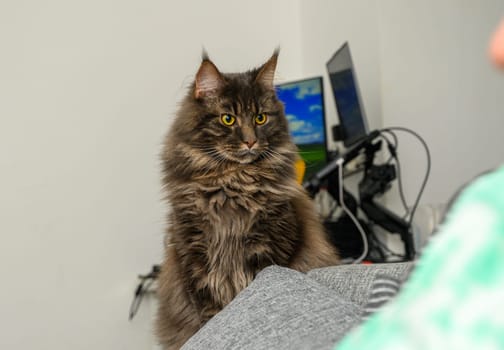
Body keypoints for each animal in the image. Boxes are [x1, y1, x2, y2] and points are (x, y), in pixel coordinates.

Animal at [156, 50, 340, 348]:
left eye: (261, 118)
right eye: (228, 119)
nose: (251, 142)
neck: (232, 186)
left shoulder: (271, 249)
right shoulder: (193, 257)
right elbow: (209, 313)